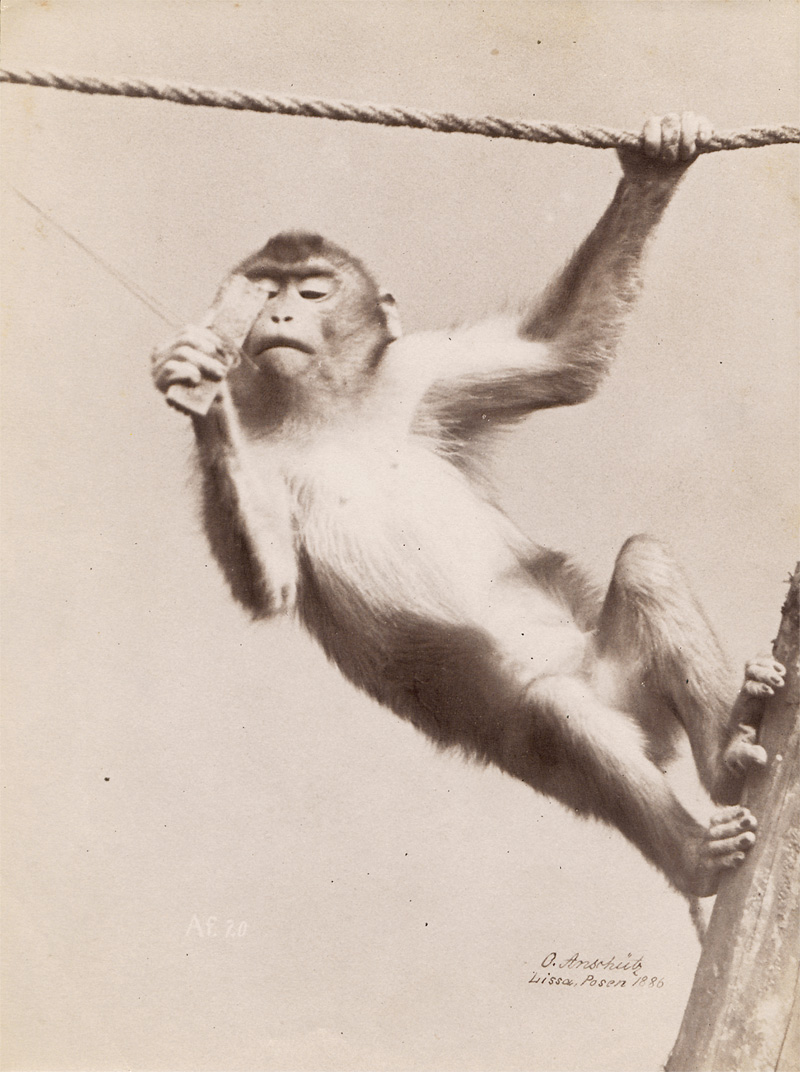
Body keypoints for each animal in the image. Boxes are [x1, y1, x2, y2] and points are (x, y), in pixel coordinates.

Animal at [152, 112, 784, 900]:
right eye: (266, 287)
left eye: (314, 291)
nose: (278, 311)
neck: (330, 415)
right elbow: (272, 586)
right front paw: (198, 384)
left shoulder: (423, 374)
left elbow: (562, 357)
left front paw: (656, 164)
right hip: (532, 733)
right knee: (557, 711)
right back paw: (696, 852)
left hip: (622, 674)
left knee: (643, 566)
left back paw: (724, 755)